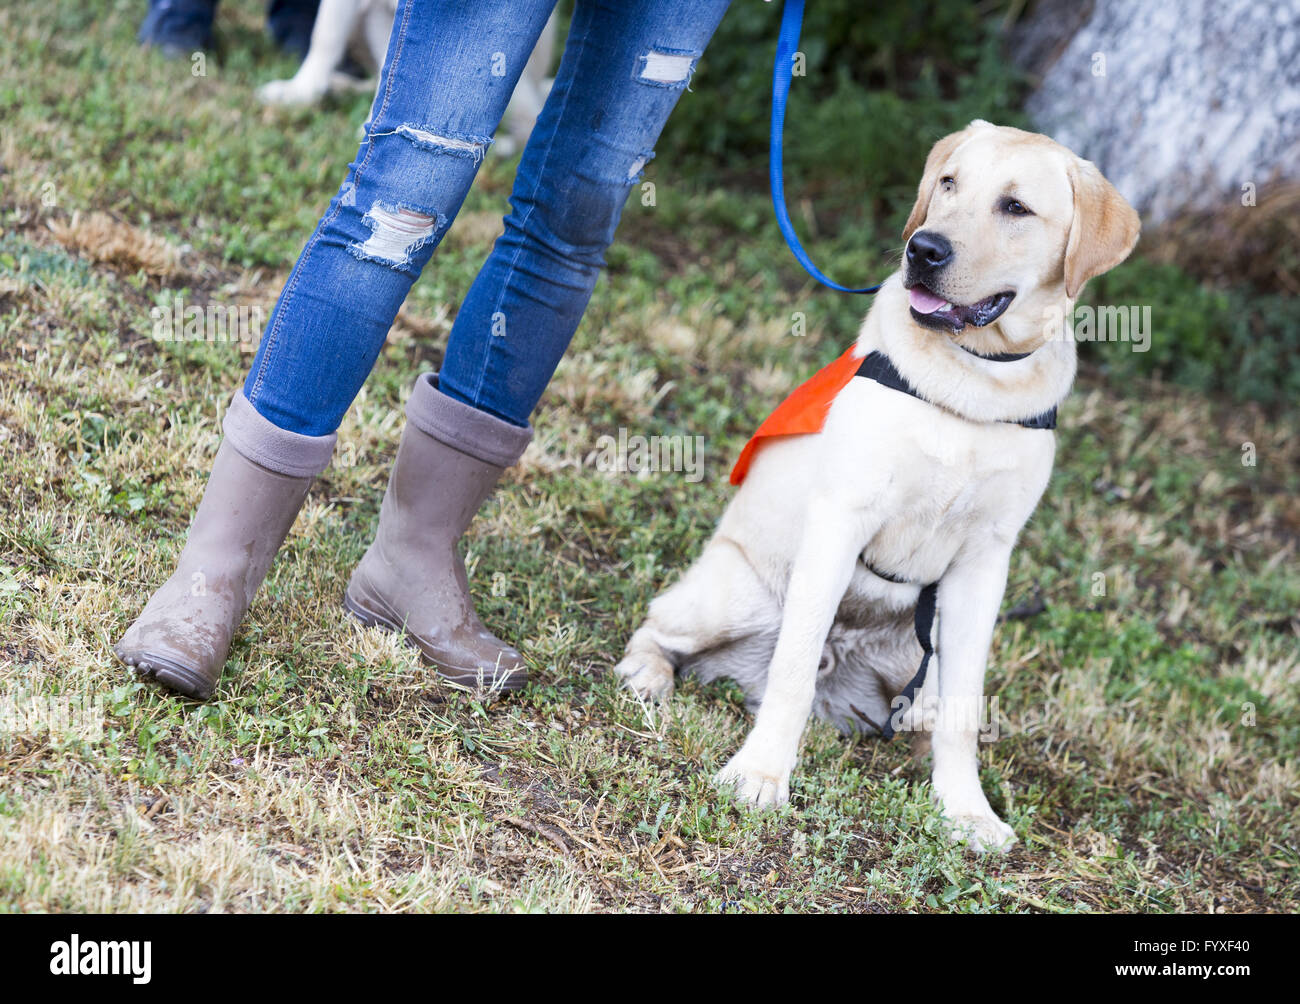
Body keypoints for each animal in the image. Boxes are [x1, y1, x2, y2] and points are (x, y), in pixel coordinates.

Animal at [613, 121, 1133, 853]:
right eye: (948, 184)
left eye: (1016, 207)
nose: (925, 249)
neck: (972, 384)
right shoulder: (841, 519)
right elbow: (793, 670)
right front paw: (761, 775)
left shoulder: (985, 562)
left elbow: (964, 711)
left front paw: (965, 810)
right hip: (735, 592)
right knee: (664, 625)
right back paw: (647, 674)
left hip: (922, 657)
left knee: (927, 710)